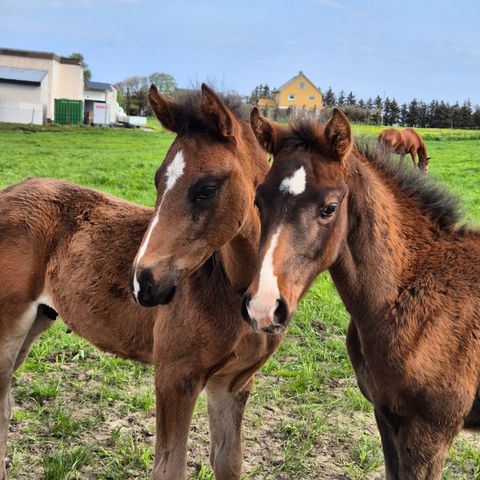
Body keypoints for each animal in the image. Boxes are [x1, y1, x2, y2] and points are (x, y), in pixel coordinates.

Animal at [0, 86, 282, 480]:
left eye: (207, 189)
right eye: (157, 180)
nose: (143, 283)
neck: (231, 287)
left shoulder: (233, 383)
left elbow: (228, 462)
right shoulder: (175, 378)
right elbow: (168, 468)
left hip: (36, 321)